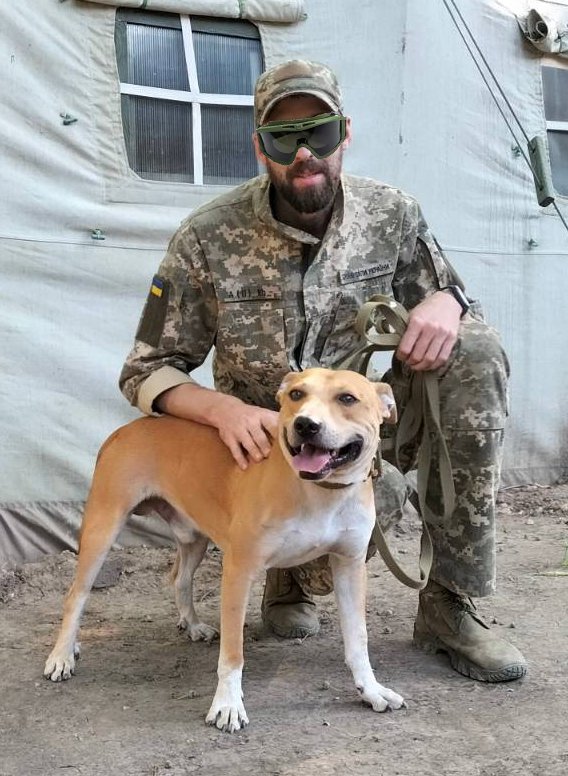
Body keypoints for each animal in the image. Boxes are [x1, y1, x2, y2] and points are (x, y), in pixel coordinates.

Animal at [46, 366, 406, 732]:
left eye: (347, 398)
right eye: (296, 395)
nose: (306, 424)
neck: (320, 493)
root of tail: (124, 429)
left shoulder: (350, 566)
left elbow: (358, 639)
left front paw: (371, 689)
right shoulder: (239, 571)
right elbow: (233, 653)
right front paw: (228, 705)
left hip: (193, 537)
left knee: (181, 580)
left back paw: (192, 625)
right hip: (102, 528)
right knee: (76, 595)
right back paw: (62, 655)